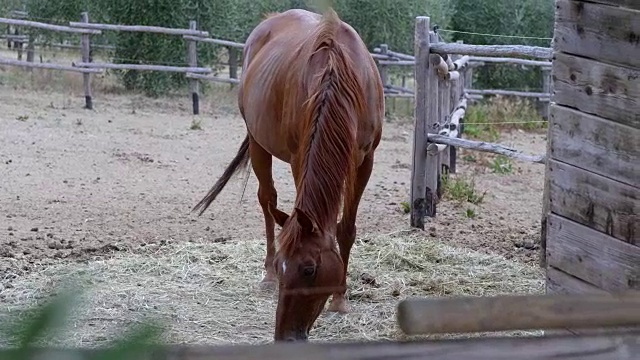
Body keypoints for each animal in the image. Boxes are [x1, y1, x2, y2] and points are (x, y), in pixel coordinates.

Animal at [192, 7, 382, 340]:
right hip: (257, 142)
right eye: (284, 265)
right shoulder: (298, 158)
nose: (284, 337)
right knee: (267, 200)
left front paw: (340, 300)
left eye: (308, 270)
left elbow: (346, 229)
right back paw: (265, 276)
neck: (340, 78)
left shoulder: (365, 160)